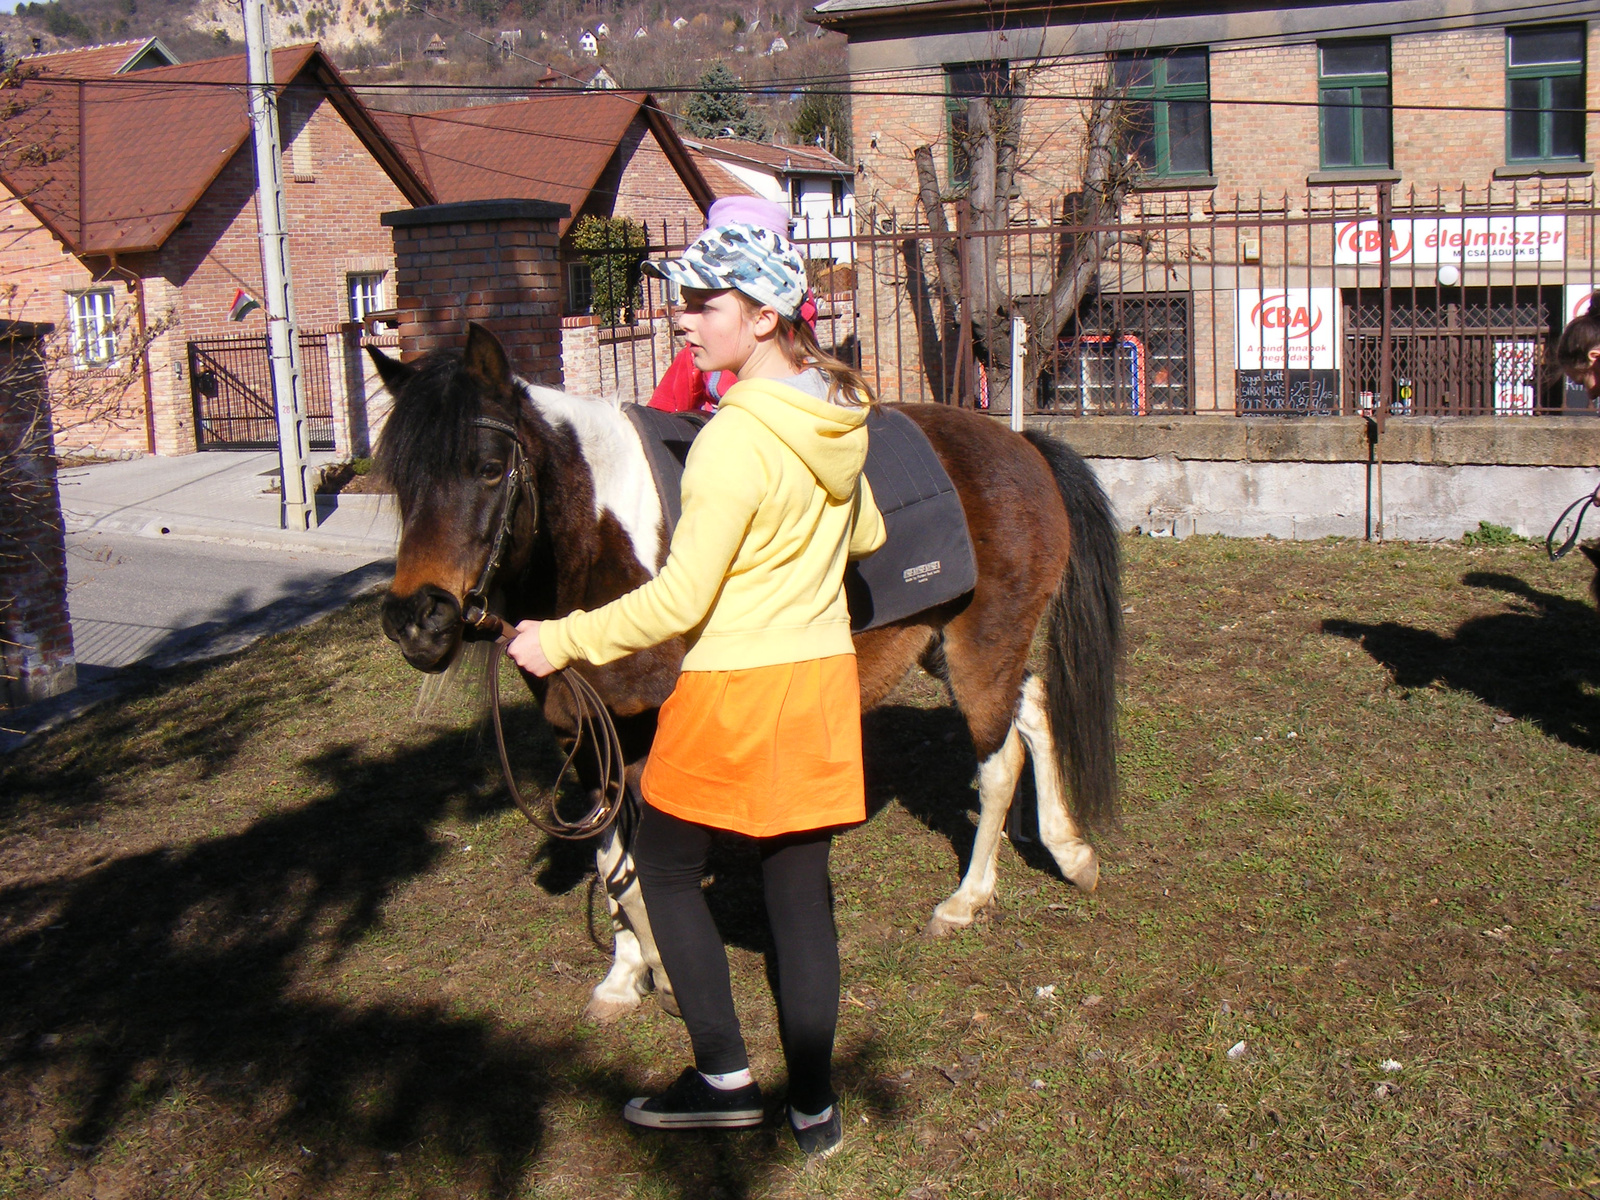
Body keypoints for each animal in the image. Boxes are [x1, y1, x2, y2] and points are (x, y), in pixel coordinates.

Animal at [368, 324, 1120, 1017]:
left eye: (490, 468)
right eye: (400, 480)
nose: (417, 619)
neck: (600, 545)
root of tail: (1023, 446)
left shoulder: (652, 740)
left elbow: (641, 867)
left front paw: (666, 973)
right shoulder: (585, 736)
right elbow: (612, 860)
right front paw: (625, 977)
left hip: (981, 643)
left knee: (998, 762)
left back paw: (967, 899)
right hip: (949, 644)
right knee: (1034, 705)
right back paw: (1069, 851)